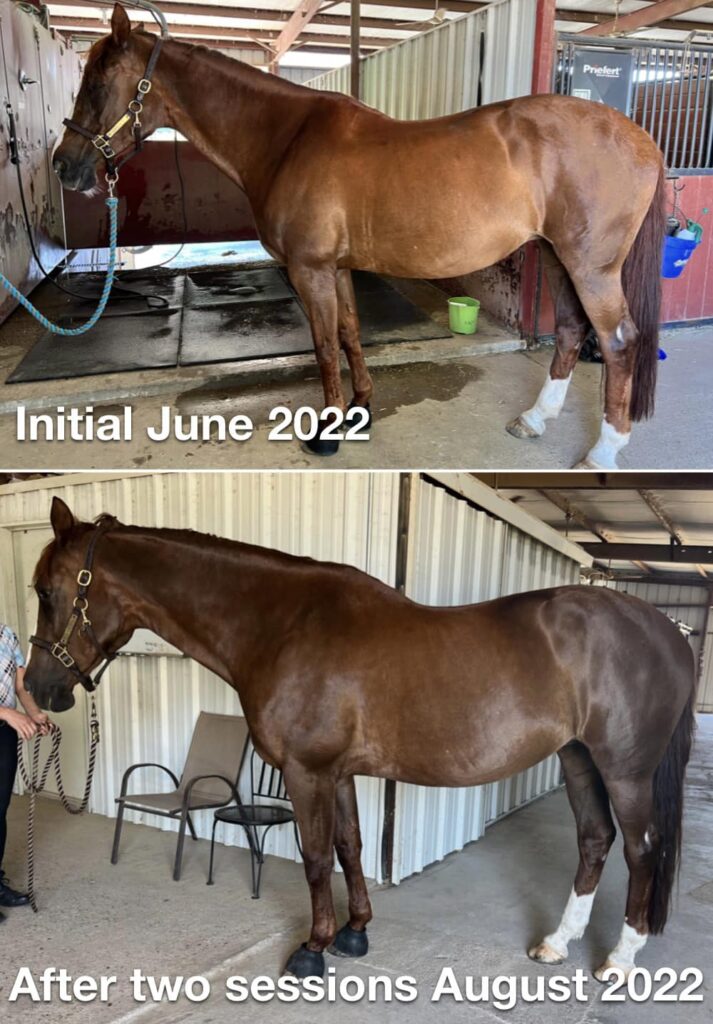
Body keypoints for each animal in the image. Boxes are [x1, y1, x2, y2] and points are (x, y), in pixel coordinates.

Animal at [25, 497, 696, 981]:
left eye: (47, 592)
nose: (37, 688)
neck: (281, 624)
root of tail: (670, 629)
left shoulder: (308, 771)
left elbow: (317, 857)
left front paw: (313, 949)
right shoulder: (340, 772)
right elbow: (350, 847)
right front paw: (355, 932)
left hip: (625, 771)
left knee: (641, 851)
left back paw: (619, 960)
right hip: (578, 759)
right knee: (594, 840)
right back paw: (556, 944)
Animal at [52, 4, 666, 468]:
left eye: (99, 83)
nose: (63, 166)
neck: (287, 138)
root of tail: (641, 137)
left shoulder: (310, 269)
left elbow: (324, 346)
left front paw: (326, 433)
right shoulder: (338, 268)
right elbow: (349, 334)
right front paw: (361, 407)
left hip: (591, 267)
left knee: (617, 342)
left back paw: (603, 452)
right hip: (557, 258)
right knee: (570, 332)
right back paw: (535, 420)